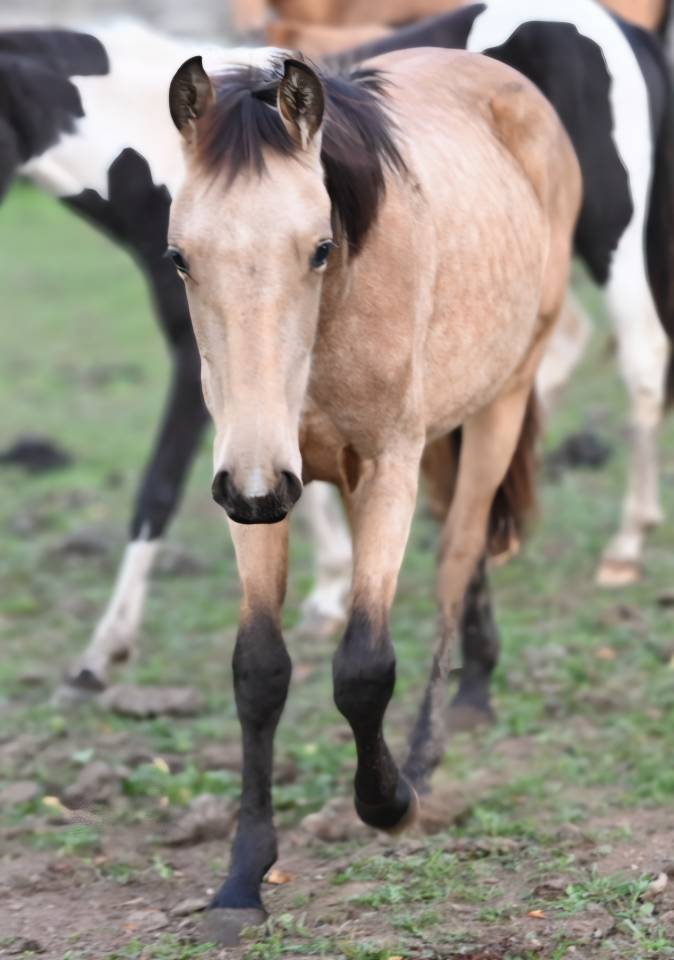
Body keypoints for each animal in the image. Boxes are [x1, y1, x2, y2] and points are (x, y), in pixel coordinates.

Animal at [167, 43, 581, 938]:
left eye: (320, 248)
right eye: (180, 256)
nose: (260, 483)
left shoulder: (387, 462)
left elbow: (363, 664)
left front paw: (389, 801)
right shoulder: (253, 483)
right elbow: (259, 669)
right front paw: (242, 879)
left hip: (498, 403)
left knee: (459, 554)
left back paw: (427, 747)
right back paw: (477, 686)